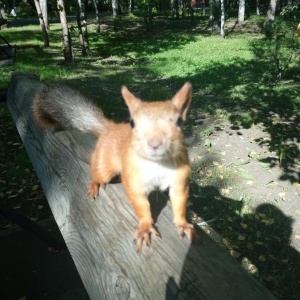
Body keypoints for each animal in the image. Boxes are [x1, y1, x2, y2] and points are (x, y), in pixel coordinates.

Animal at [32, 83, 198, 252]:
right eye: (133, 123)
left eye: (179, 121)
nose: (155, 143)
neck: (157, 164)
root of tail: (111, 128)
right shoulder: (134, 179)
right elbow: (141, 204)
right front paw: (145, 227)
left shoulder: (179, 179)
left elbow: (179, 202)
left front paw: (183, 225)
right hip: (104, 164)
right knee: (97, 170)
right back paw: (95, 183)